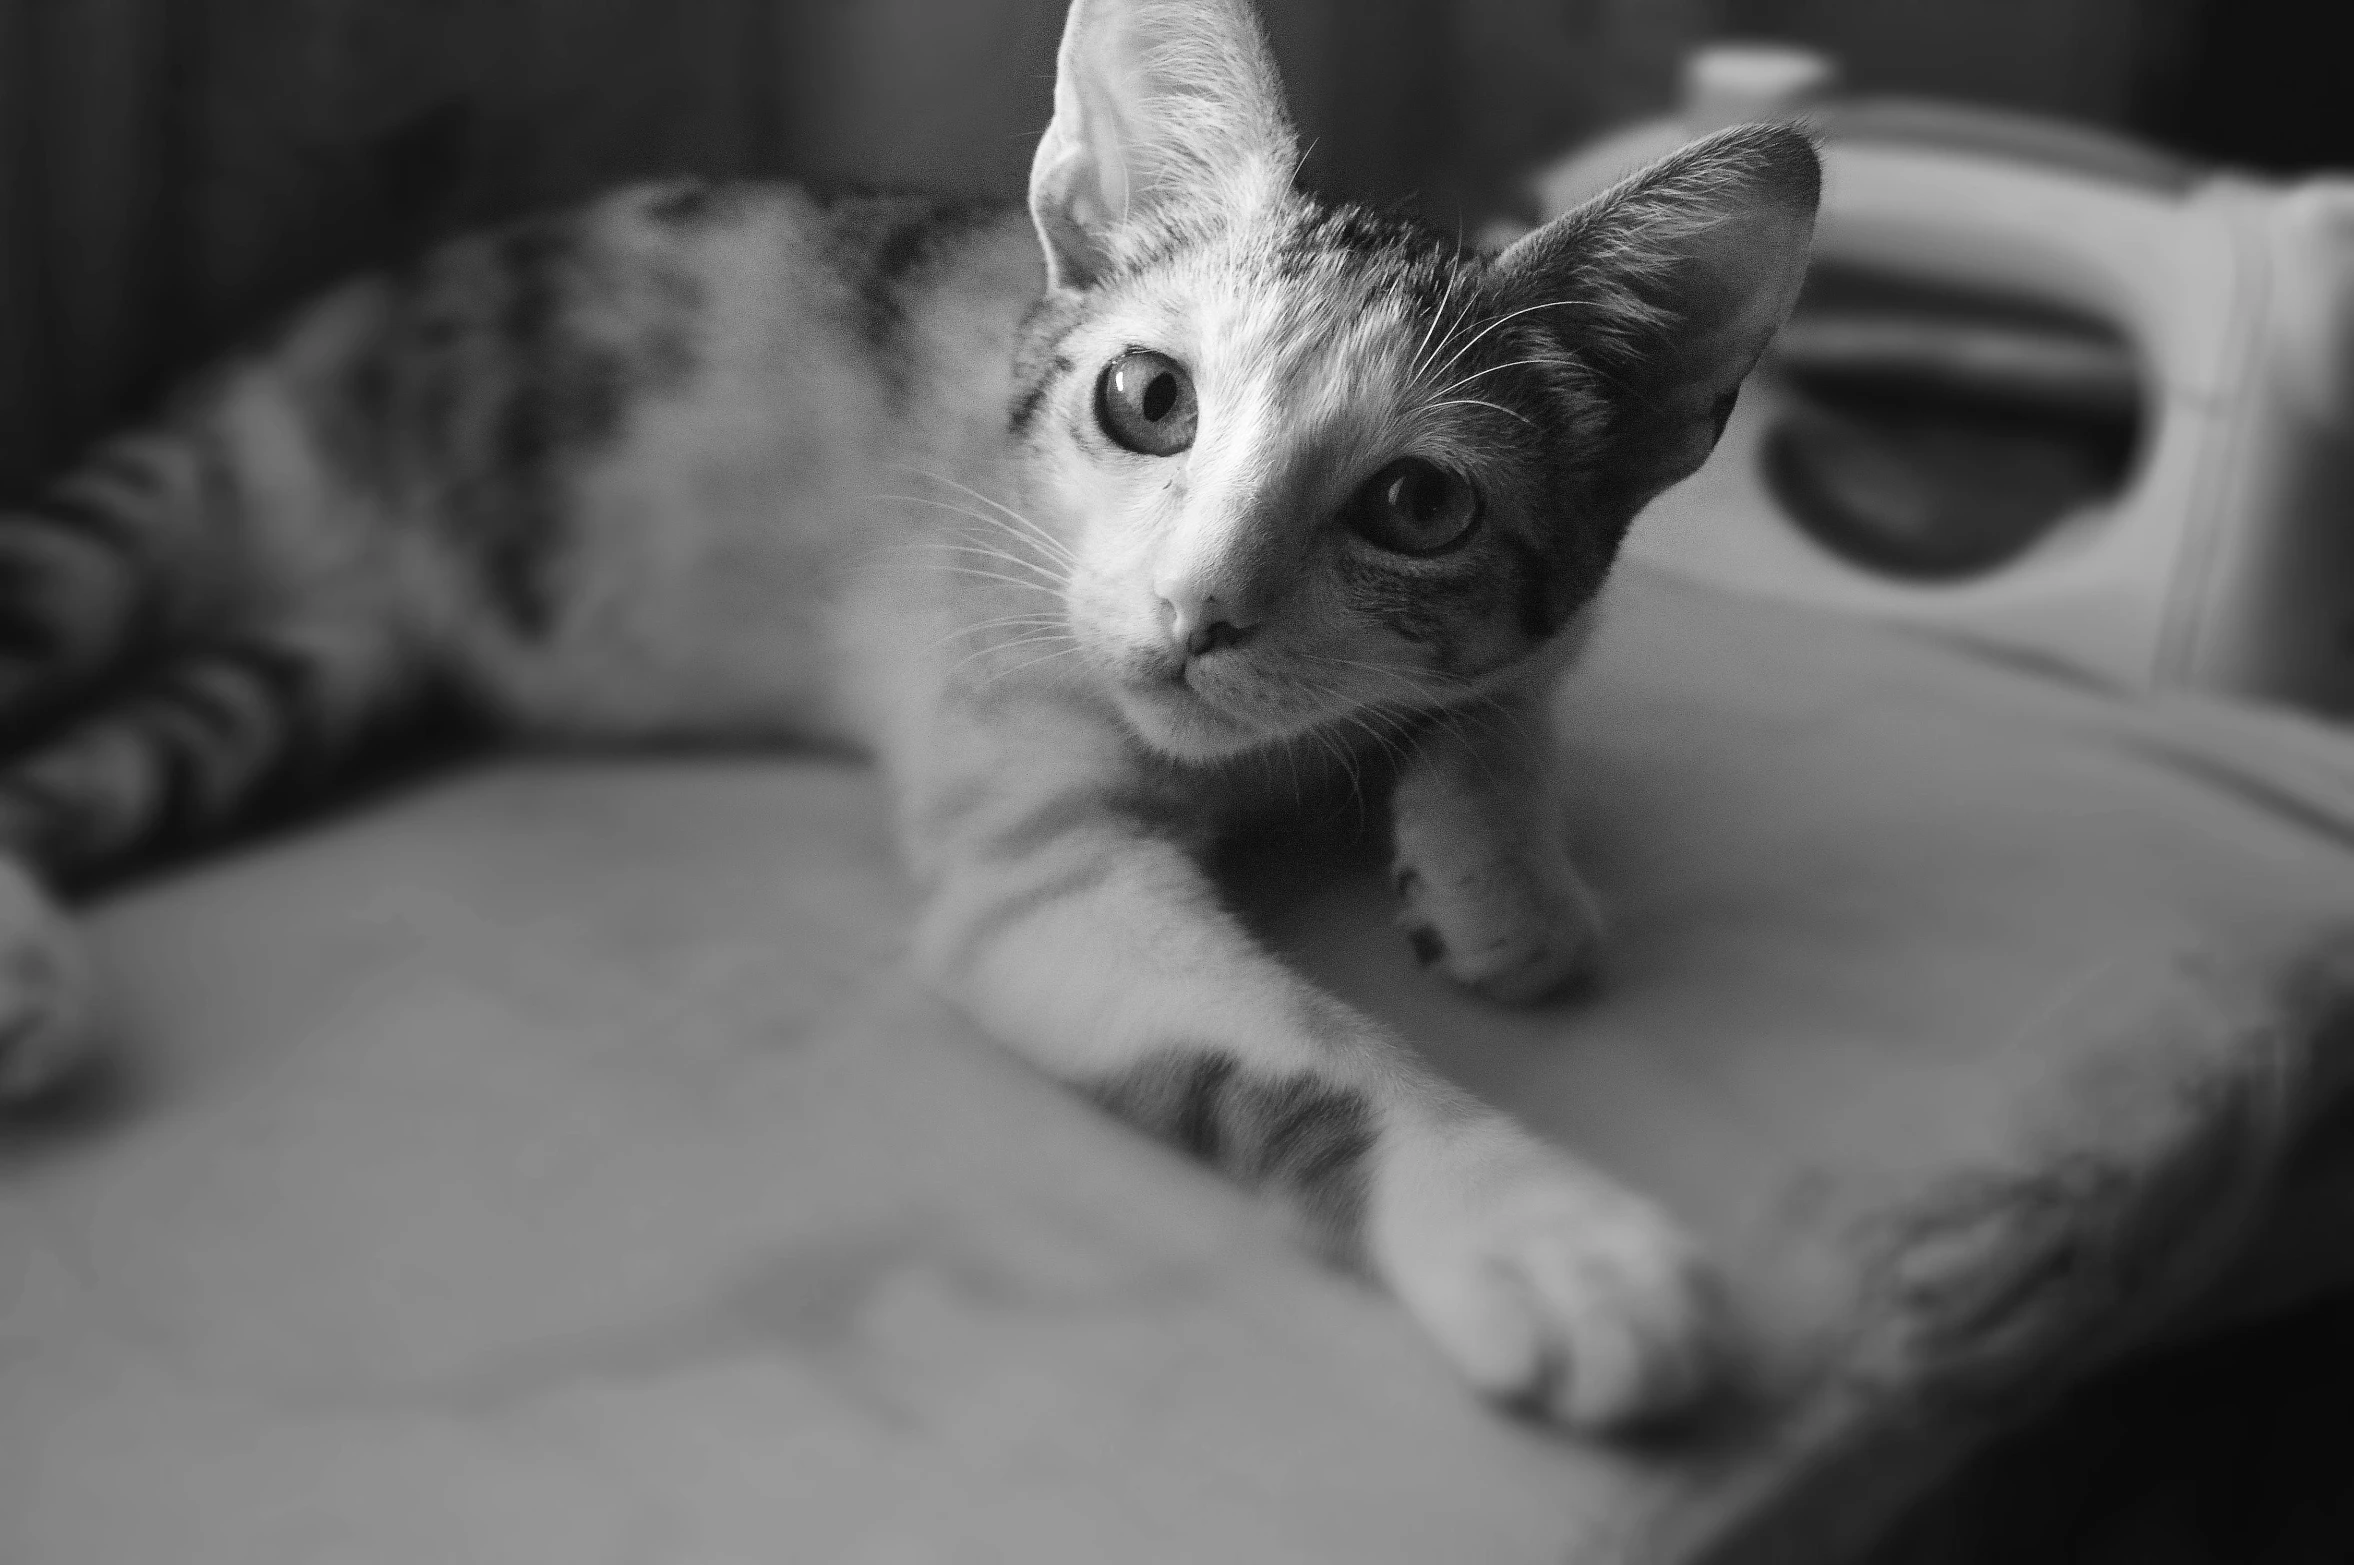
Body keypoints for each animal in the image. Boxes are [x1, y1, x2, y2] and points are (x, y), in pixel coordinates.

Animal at [0, 0, 1817, 1421]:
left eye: (1420, 508)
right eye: (1145, 399)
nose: (1196, 612)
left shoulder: (1539, 603)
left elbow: (1510, 680)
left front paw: (1496, 869)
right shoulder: (1034, 850)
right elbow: (1318, 1048)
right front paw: (1536, 1227)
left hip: (311, 678)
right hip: (150, 518)